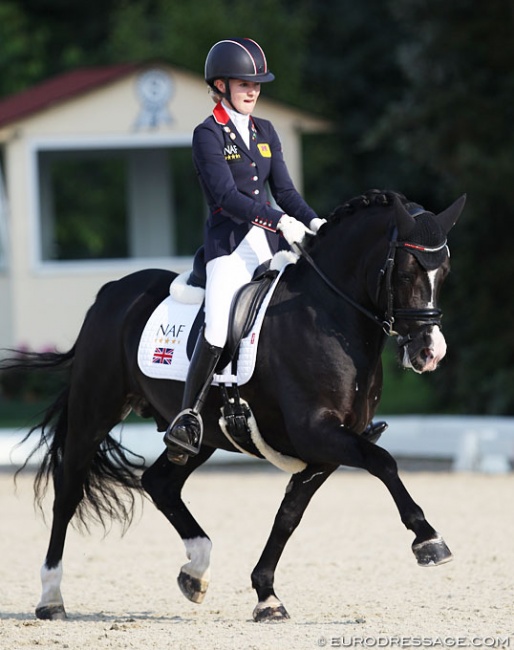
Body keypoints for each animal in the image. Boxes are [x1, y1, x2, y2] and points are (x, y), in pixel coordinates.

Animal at [12, 187, 462, 616]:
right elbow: (383, 462)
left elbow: (289, 514)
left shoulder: (328, 444)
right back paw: (51, 598)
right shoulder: (316, 432)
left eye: (445, 271)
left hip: (201, 435)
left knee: (160, 483)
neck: (329, 313)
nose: (430, 352)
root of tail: (111, 291)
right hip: (94, 410)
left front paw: (266, 595)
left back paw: (196, 570)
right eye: (405, 271)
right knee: (68, 491)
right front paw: (429, 541)